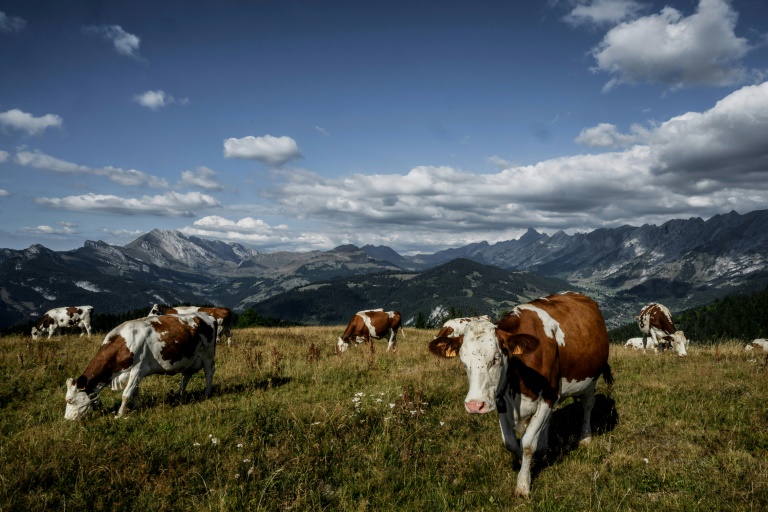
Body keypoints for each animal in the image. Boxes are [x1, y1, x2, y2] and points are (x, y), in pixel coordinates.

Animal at [62, 312, 219, 420]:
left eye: (70, 400)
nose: (66, 419)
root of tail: (207, 315)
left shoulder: (138, 369)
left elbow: (126, 394)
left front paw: (119, 415)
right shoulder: (131, 373)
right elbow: (135, 391)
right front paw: (136, 407)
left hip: (207, 355)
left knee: (209, 373)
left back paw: (207, 394)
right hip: (190, 359)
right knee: (186, 376)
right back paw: (178, 396)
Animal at [428, 294, 616, 498]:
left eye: (495, 358)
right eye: (464, 362)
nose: (475, 405)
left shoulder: (547, 397)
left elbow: (527, 444)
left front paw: (523, 483)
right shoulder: (501, 400)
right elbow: (511, 443)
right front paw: (522, 461)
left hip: (591, 380)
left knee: (588, 405)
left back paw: (585, 437)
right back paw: (544, 445)